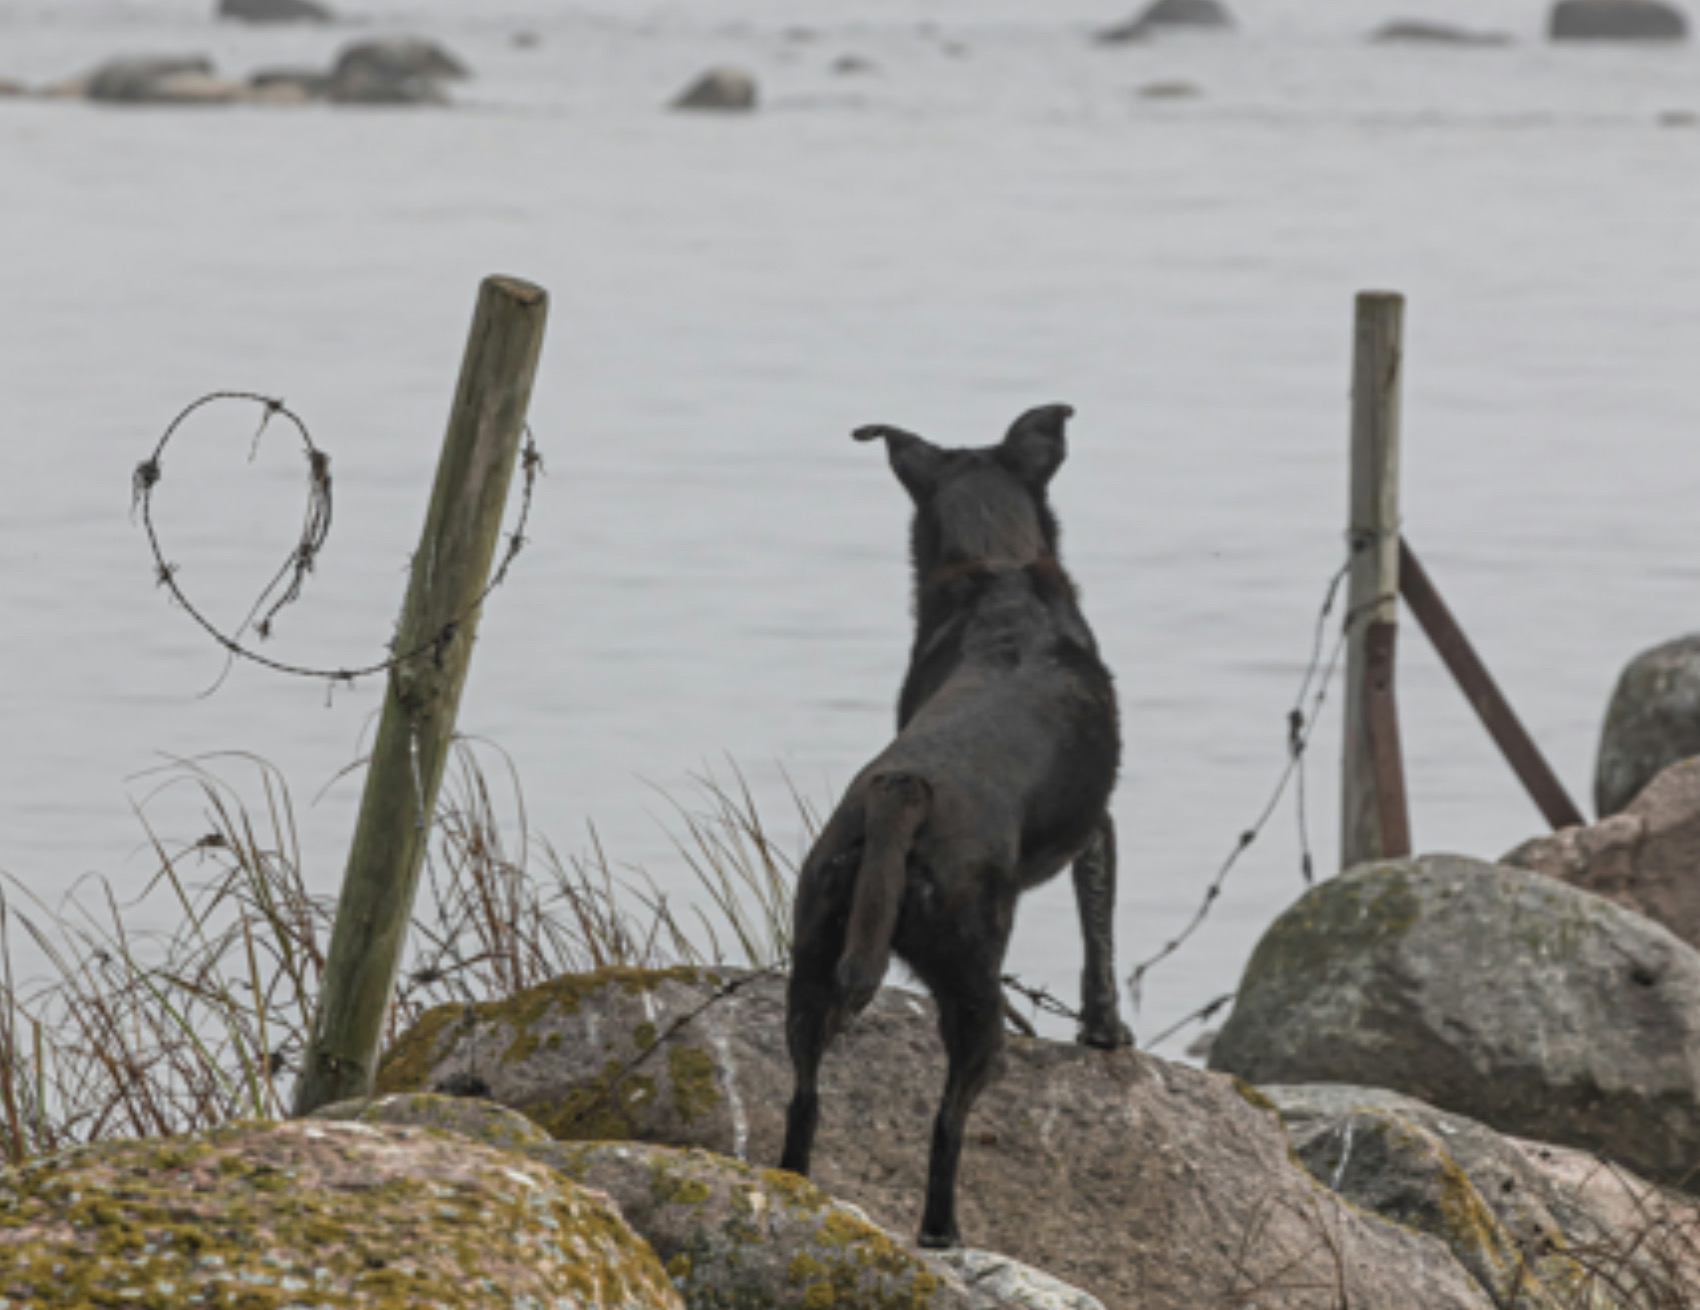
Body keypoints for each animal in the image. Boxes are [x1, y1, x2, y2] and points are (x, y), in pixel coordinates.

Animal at [778, 402, 1128, 1250]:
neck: (997, 574)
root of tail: (901, 793)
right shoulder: (1097, 827)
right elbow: (1099, 933)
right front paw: (1106, 1030)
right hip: (974, 984)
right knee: (946, 1124)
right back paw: (943, 1231)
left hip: (814, 954)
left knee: (804, 1099)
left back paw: (793, 1186)